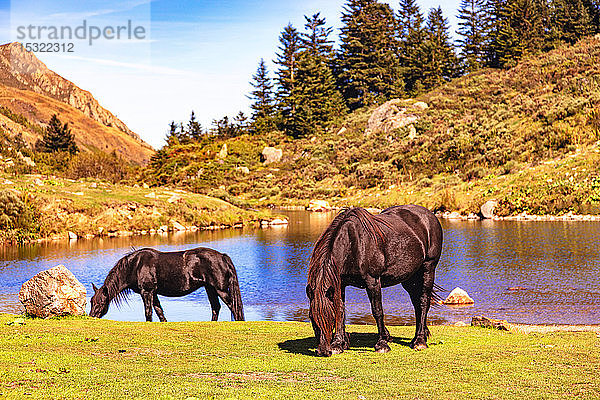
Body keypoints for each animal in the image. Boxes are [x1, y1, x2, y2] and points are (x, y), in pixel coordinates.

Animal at [89, 247, 244, 322]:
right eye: (91, 302)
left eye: (101, 303)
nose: (91, 317)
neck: (135, 266)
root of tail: (222, 256)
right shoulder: (153, 293)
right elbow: (159, 311)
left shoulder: (147, 292)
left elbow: (148, 312)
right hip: (210, 288)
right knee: (215, 308)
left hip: (220, 289)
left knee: (234, 307)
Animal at [308, 206, 442, 356]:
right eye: (312, 318)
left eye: (329, 318)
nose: (323, 351)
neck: (353, 244)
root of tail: (429, 215)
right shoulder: (340, 284)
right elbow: (340, 310)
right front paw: (338, 344)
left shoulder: (372, 281)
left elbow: (377, 311)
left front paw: (382, 344)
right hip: (410, 278)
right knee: (416, 303)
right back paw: (418, 337)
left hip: (428, 269)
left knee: (424, 302)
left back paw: (420, 341)